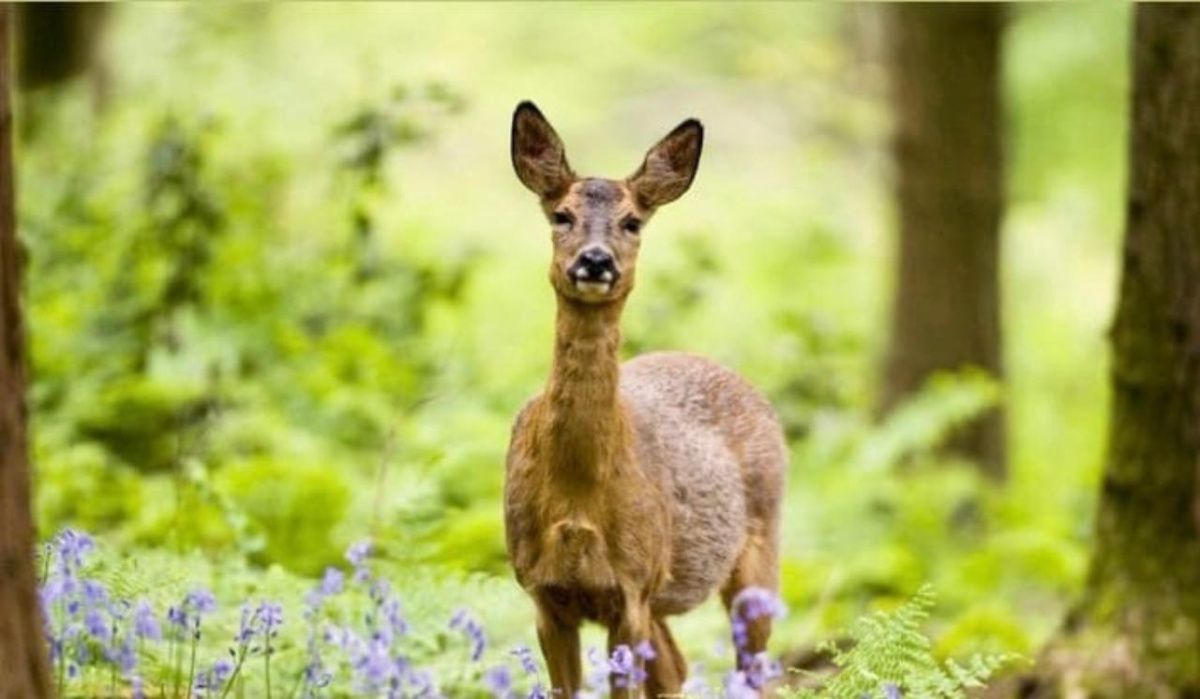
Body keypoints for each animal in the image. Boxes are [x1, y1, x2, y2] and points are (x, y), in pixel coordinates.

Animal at [499, 100, 787, 699]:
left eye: (632, 221)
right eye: (560, 215)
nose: (595, 260)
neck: (577, 491)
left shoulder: (631, 586)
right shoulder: (543, 590)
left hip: (759, 546)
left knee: (755, 670)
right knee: (676, 668)